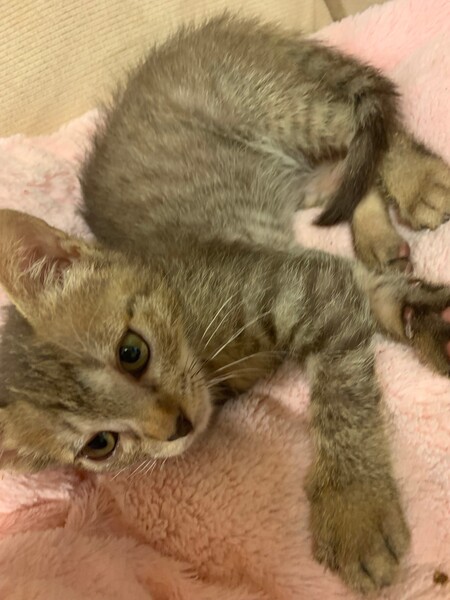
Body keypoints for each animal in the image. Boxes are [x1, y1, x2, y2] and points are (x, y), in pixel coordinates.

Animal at [0, 15, 450, 594]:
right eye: (100, 445)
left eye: (131, 352)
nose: (177, 427)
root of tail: (220, 29)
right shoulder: (311, 274)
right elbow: (371, 291)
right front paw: (427, 316)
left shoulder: (302, 284)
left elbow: (342, 396)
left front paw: (355, 508)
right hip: (304, 178)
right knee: (348, 175)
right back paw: (376, 233)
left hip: (280, 107)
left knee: (362, 127)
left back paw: (418, 180)